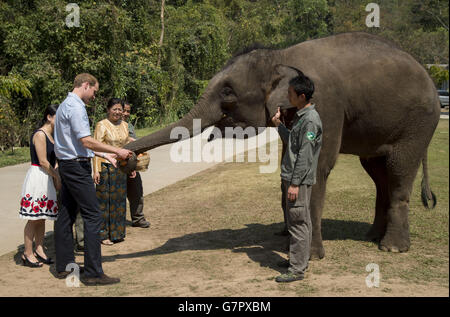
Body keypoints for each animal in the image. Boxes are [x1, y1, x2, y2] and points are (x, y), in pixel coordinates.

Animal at [124, 32, 440, 258]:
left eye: (227, 92)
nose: (127, 156)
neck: (281, 55)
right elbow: (288, 164)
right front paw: (287, 239)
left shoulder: (325, 104)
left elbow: (316, 167)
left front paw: (308, 256)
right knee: (377, 173)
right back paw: (372, 237)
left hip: (418, 124)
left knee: (399, 172)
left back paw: (392, 248)